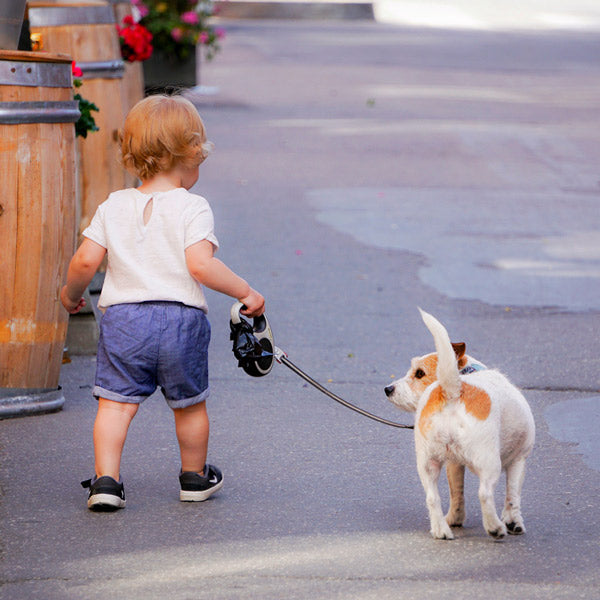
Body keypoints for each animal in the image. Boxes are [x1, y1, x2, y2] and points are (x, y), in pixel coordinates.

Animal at [386, 310, 536, 540]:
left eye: (419, 373)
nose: (388, 389)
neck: (467, 373)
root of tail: (453, 390)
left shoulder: (454, 464)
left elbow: (457, 493)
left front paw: (455, 518)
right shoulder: (518, 460)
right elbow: (512, 495)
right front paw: (514, 522)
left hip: (427, 463)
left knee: (432, 498)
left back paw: (441, 529)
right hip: (490, 462)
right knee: (485, 494)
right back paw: (495, 527)